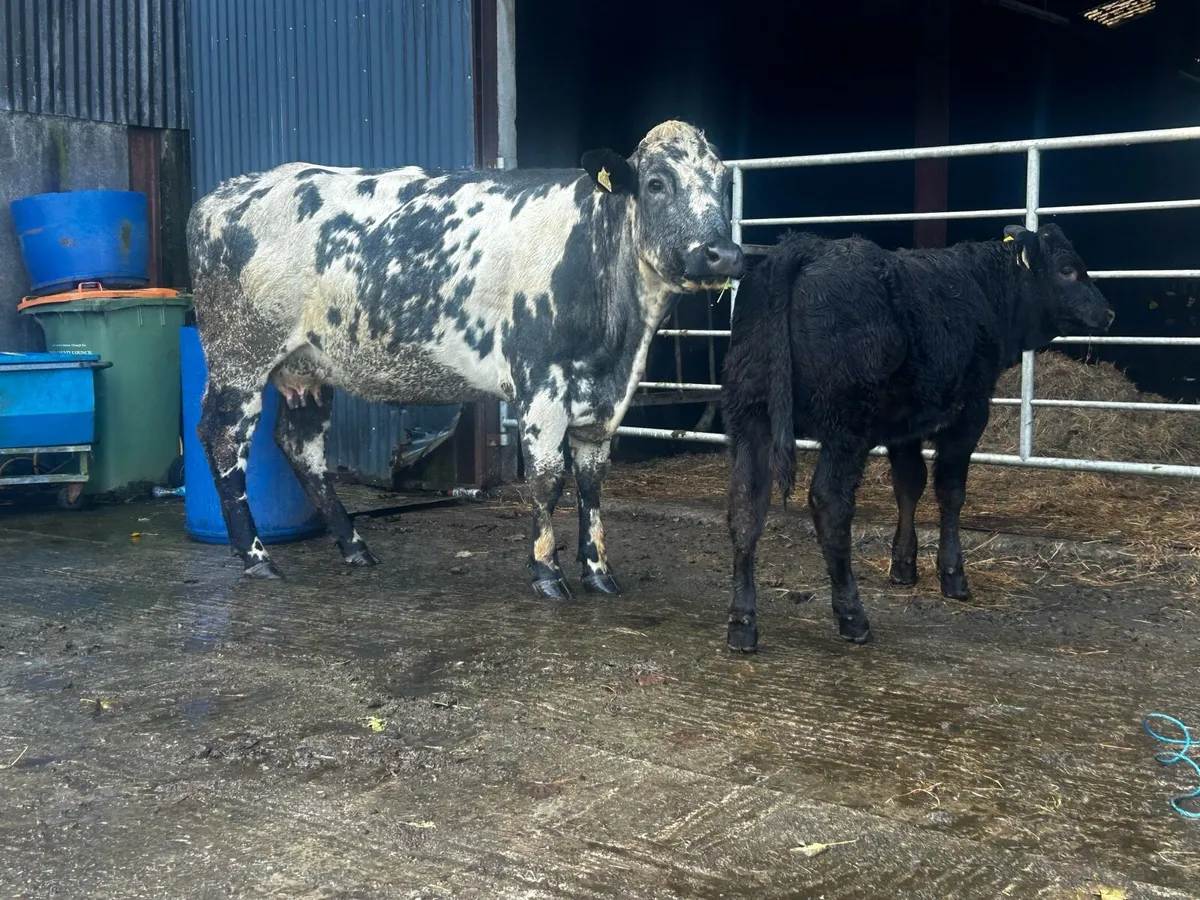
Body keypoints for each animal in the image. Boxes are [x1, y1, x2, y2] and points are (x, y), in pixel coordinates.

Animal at [186, 120, 744, 597]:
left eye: (721, 183)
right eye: (656, 183)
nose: (723, 253)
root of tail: (224, 193)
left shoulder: (606, 399)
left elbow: (591, 483)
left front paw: (598, 571)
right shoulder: (539, 384)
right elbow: (547, 480)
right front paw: (546, 573)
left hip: (308, 365)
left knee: (302, 447)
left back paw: (355, 547)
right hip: (240, 356)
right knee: (223, 440)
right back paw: (257, 557)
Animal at [720, 223, 1114, 651]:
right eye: (1067, 269)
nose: (1109, 311)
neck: (984, 289)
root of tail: (803, 247)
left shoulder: (903, 426)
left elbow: (909, 485)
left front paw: (903, 566)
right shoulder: (969, 413)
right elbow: (950, 491)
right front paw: (953, 576)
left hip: (749, 416)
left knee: (746, 504)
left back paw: (742, 623)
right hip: (846, 424)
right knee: (829, 503)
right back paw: (853, 616)